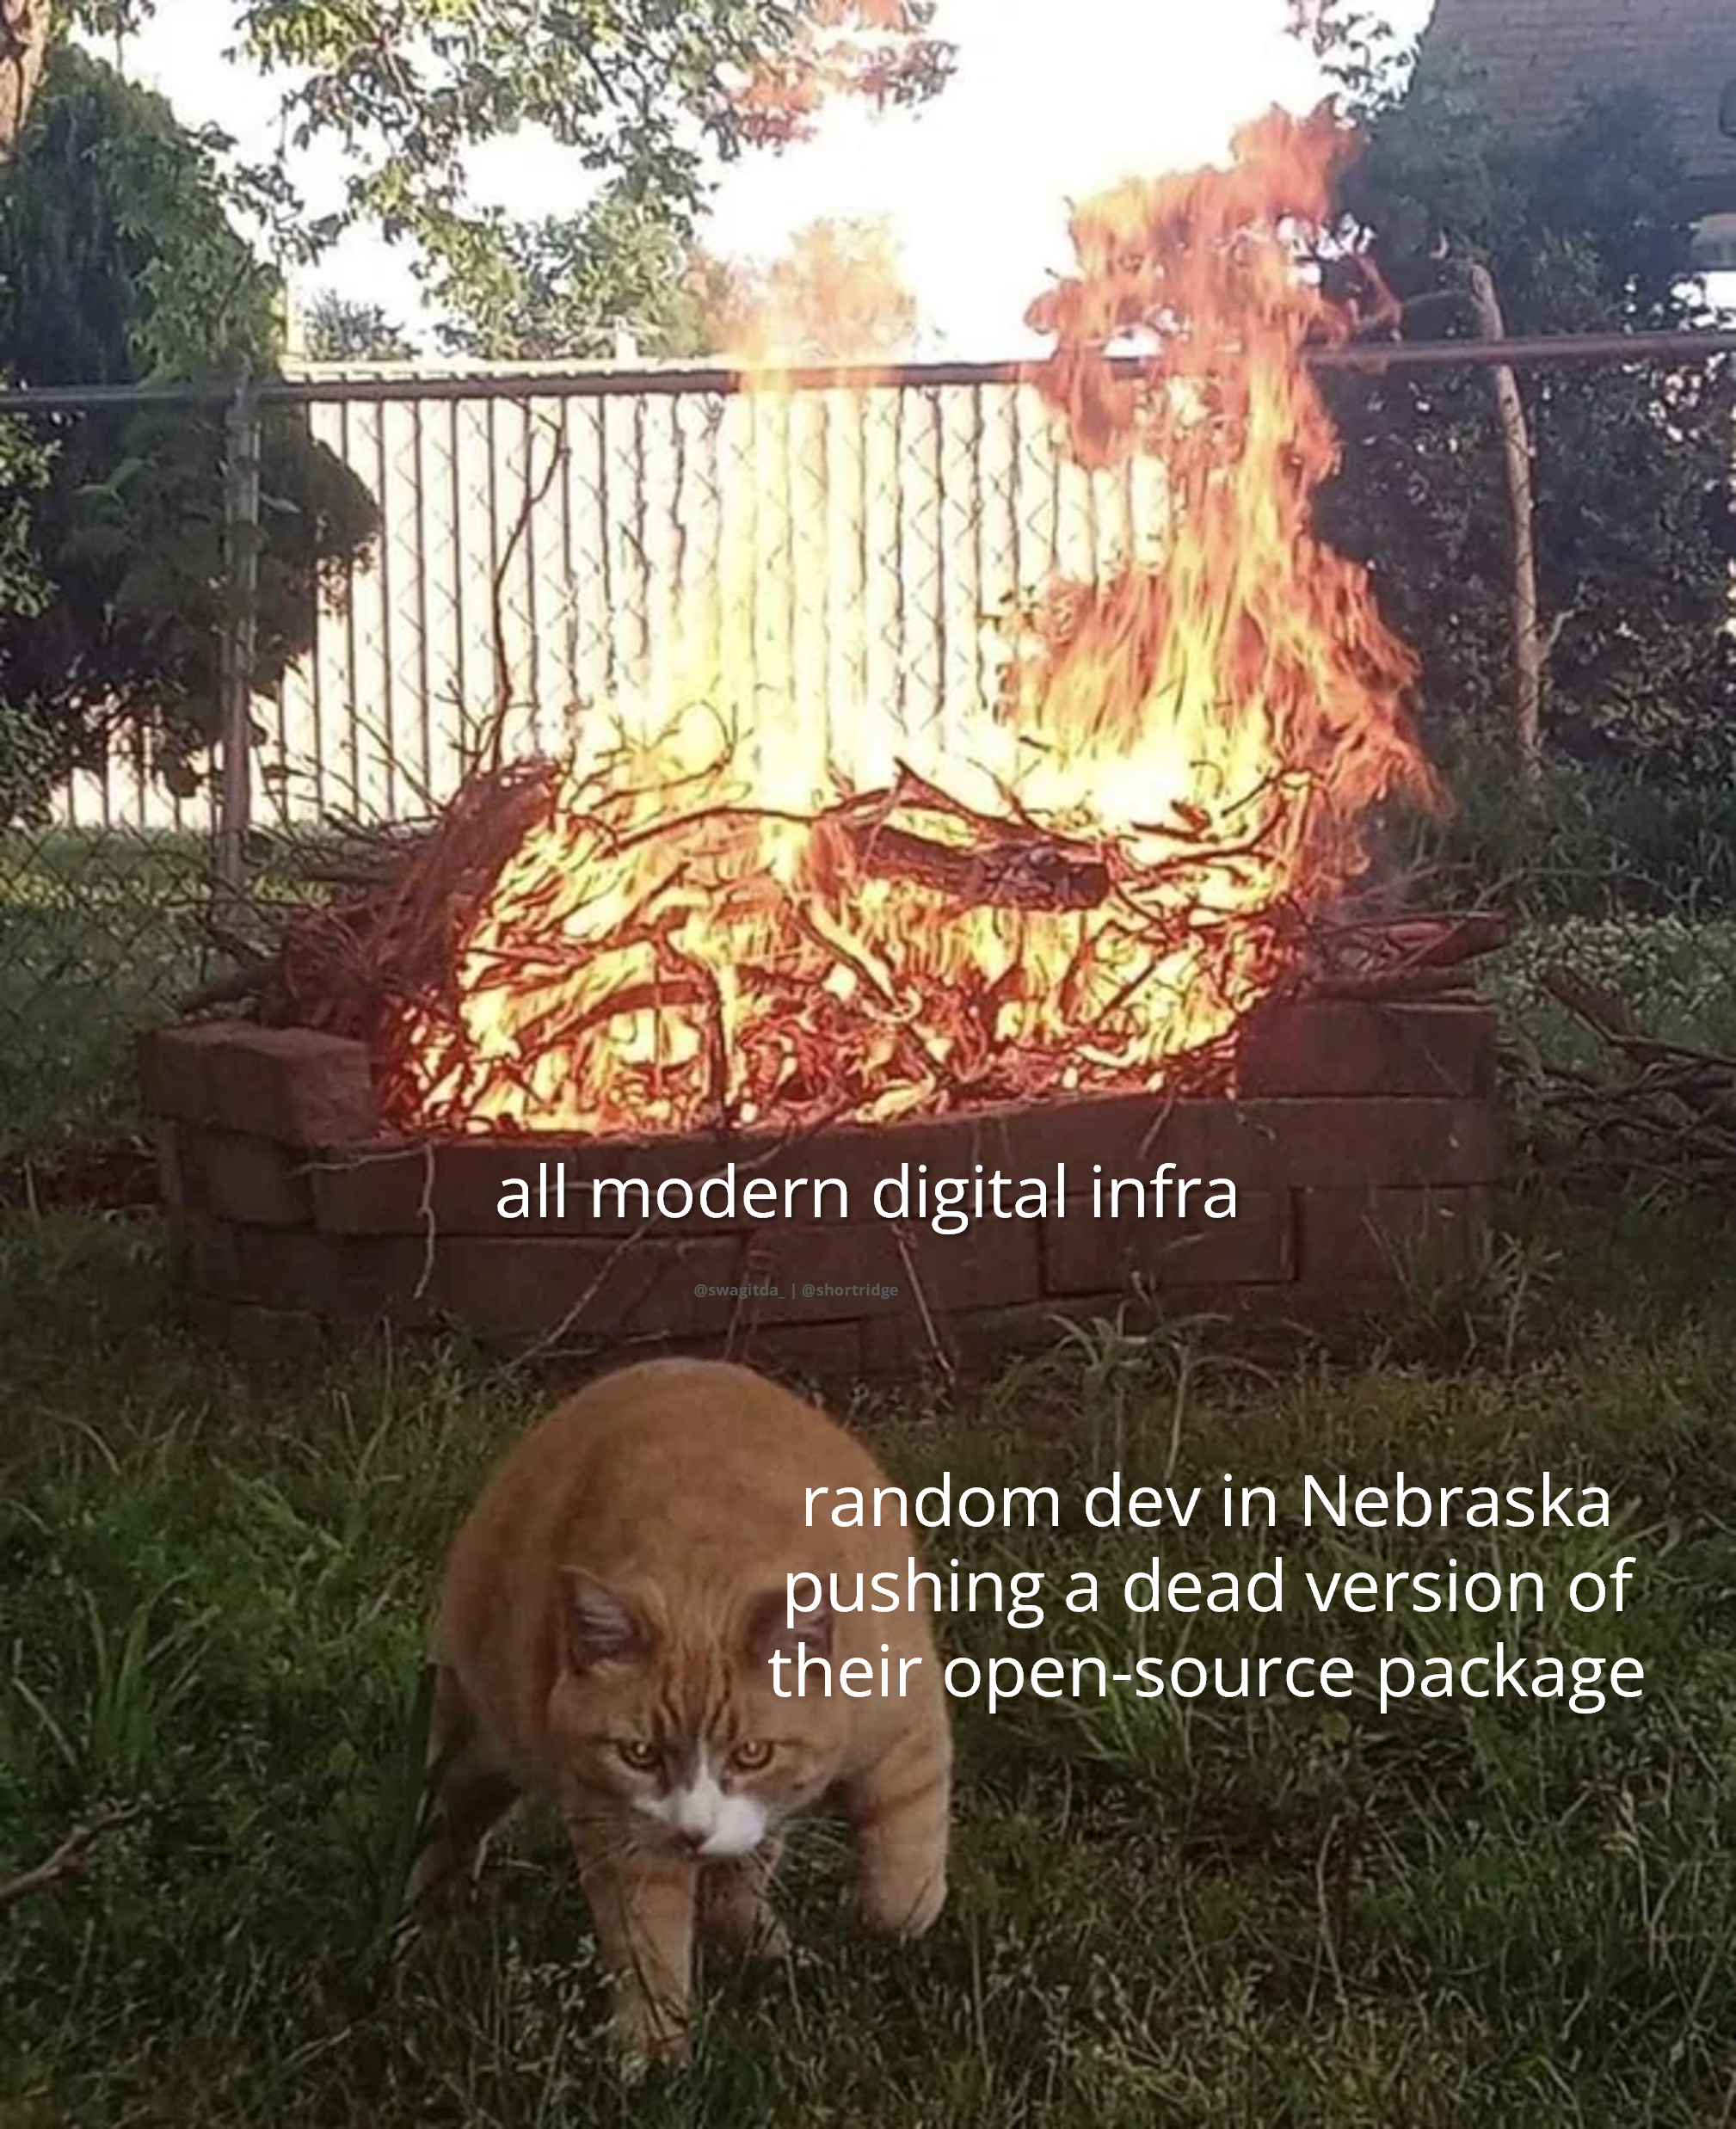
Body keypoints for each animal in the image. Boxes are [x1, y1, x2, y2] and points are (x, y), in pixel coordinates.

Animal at [402, 1354, 958, 2052]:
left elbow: (902, 1875)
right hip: (471, 1746)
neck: (704, 1587)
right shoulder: (619, 1824)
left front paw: (888, 1928)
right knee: (442, 1831)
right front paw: (653, 2052)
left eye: (753, 1752)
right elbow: (648, 1943)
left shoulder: (908, 1735)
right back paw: (424, 1932)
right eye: (638, 1754)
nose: (695, 1833)